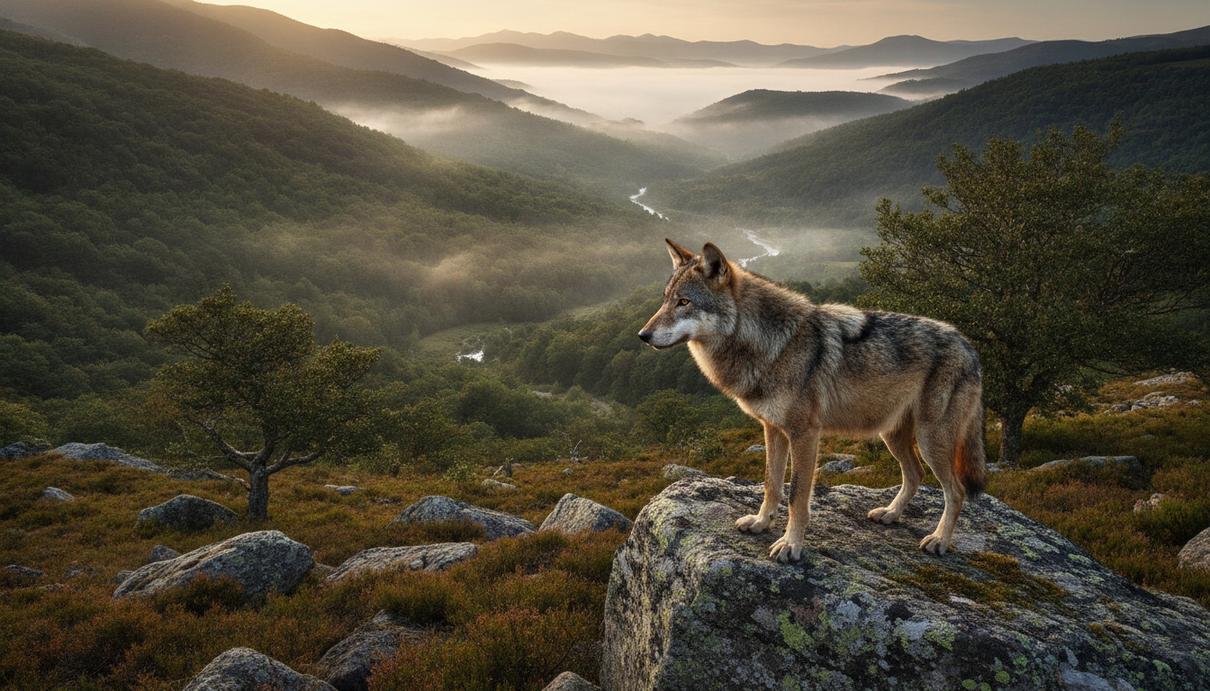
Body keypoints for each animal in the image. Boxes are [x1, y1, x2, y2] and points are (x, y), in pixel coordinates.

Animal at [640, 239, 986, 562]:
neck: (772, 346)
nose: (643, 335)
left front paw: (791, 545)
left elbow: (796, 495)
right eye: (665, 300)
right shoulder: (772, 429)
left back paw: (939, 540)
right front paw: (761, 523)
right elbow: (771, 483)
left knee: (956, 491)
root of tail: (968, 346)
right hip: (893, 436)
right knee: (915, 476)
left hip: (930, 439)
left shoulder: (805, 434)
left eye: (684, 302)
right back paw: (890, 514)